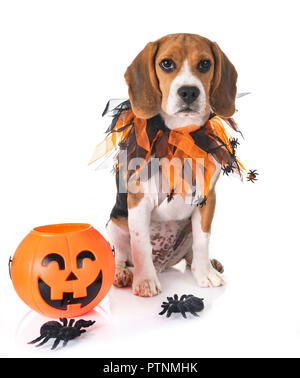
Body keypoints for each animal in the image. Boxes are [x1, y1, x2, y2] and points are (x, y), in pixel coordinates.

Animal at [105, 32, 237, 296]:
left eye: (205, 64)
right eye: (166, 63)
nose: (189, 92)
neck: (180, 133)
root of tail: (163, 264)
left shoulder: (207, 198)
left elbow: (202, 240)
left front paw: (205, 274)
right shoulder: (139, 199)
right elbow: (141, 243)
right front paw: (145, 281)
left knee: (191, 255)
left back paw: (209, 265)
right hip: (114, 224)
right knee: (121, 256)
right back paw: (123, 274)